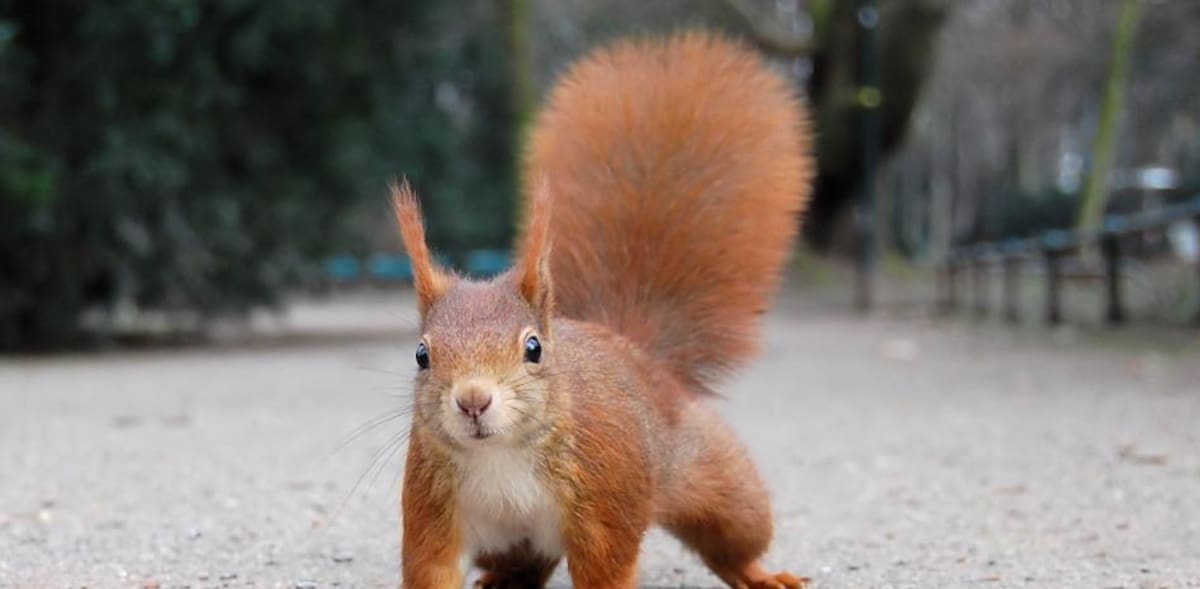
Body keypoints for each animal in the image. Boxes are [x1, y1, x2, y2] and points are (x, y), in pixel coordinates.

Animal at [392, 32, 813, 589]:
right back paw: (507, 579)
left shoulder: (604, 499)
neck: (500, 454)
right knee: (530, 560)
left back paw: (759, 574)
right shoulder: (433, 506)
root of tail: (635, 350)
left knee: (734, 538)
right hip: (508, 541)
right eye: (421, 355)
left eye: (533, 348)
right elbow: (432, 565)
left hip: (719, 483)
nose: (473, 401)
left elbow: (605, 564)